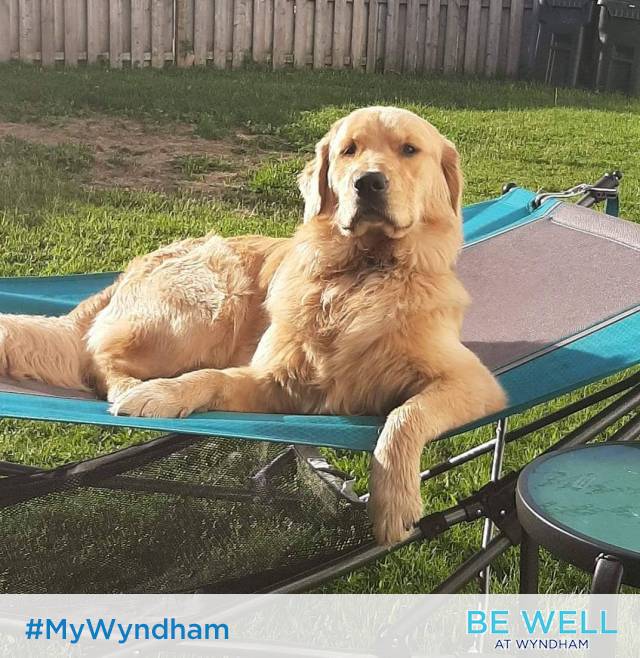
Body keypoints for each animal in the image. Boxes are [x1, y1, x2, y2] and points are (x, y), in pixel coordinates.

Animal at [0, 106, 506, 545]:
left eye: (409, 150)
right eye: (349, 150)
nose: (368, 182)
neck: (362, 273)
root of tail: (125, 273)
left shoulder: (472, 382)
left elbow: (404, 416)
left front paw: (394, 502)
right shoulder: (274, 380)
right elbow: (207, 378)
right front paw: (161, 395)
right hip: (210, 301)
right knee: (99, 357)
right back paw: (131, 387)